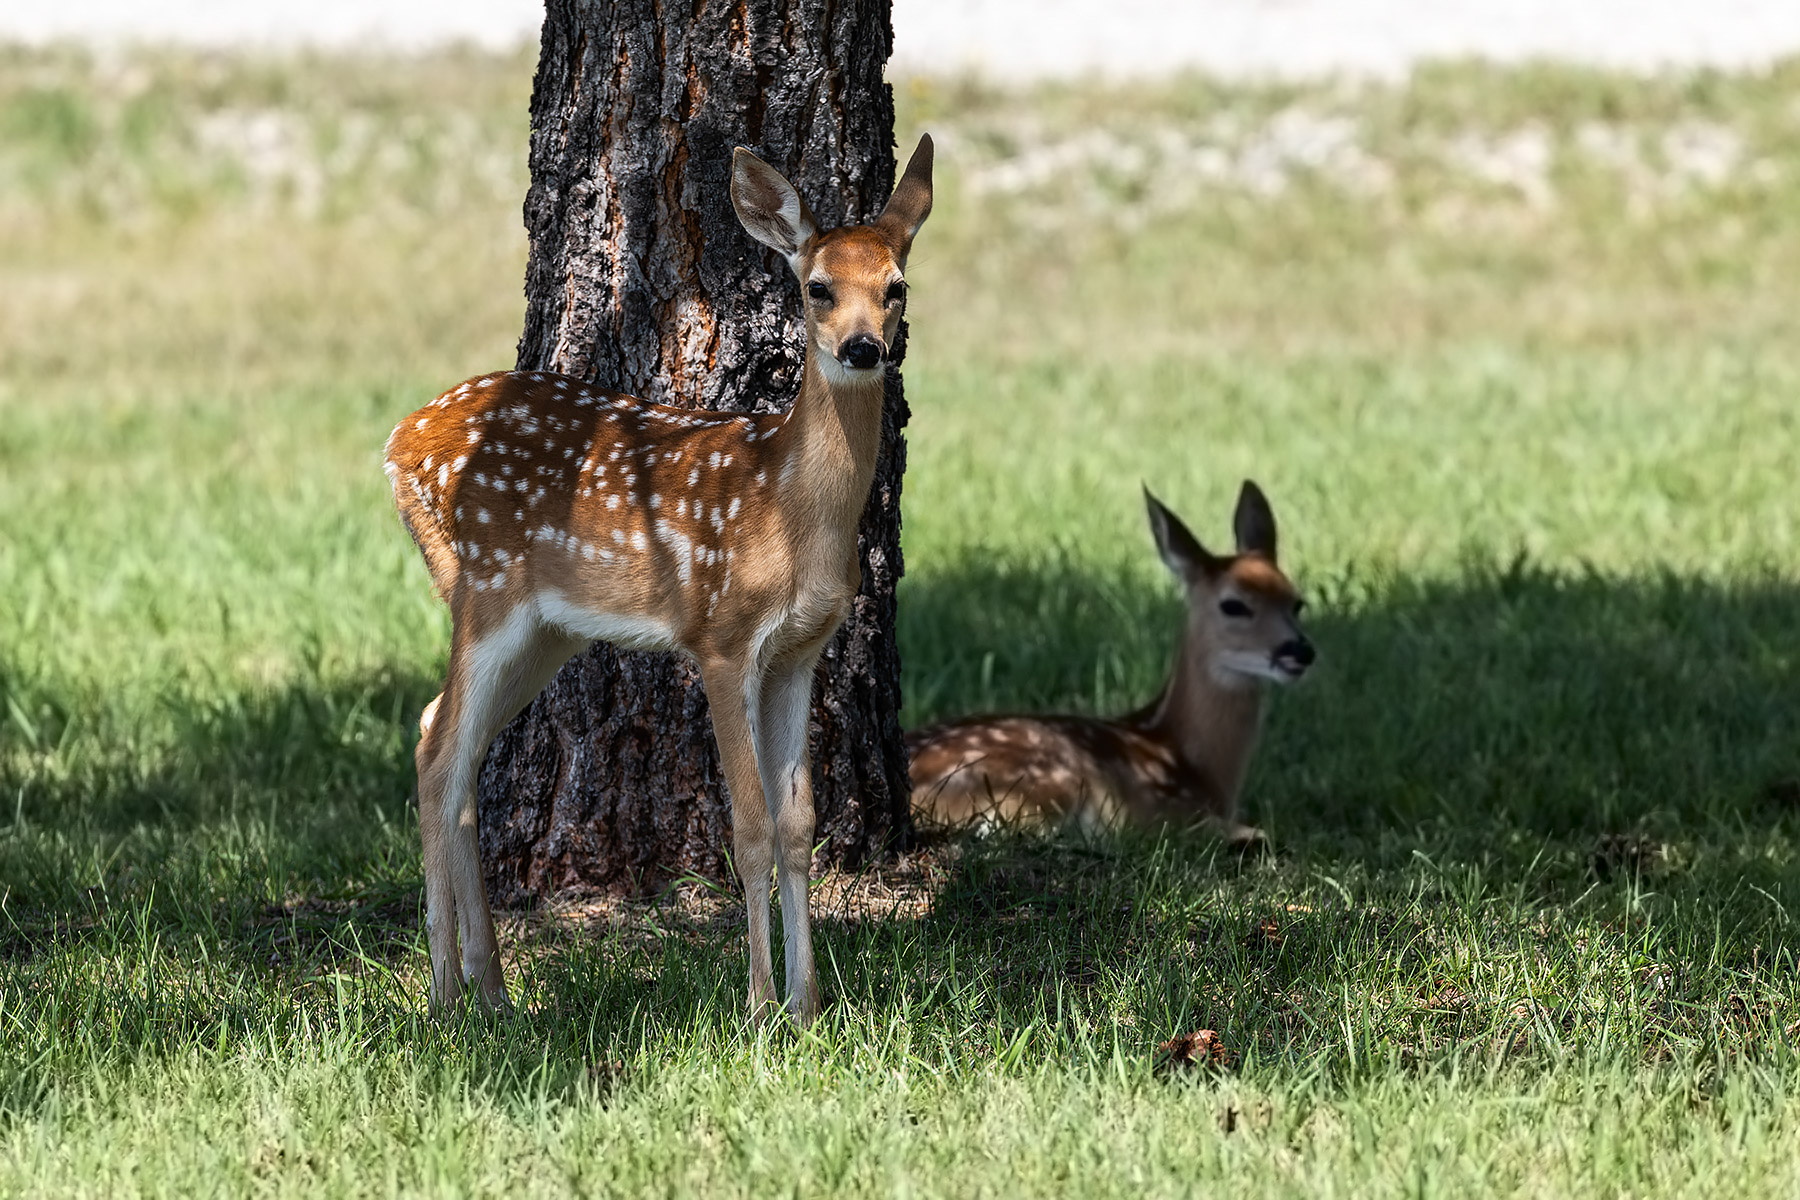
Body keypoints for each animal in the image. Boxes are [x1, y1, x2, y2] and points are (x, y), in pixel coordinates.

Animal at [382, 136, 933, 1025]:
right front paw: (759, 1008)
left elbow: (798, 825)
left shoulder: (800, 652)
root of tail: (397, 443)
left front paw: (809, 1006)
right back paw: (443, 997)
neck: (788, 508)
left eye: (896, 288)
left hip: (548, 630)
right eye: (817, 287)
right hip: (485, 590)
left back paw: (492, 991)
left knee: (452, 741)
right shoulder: (720, 635)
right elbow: (748, 825)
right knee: (438, 749)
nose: (862, 348)